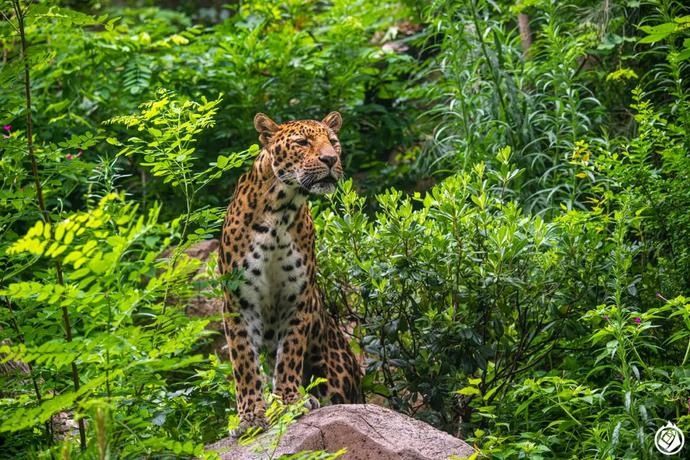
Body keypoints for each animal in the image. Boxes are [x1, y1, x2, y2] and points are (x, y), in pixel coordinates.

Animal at [218, 110, 362, 434]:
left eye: (333, 141)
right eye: (302, 142)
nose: (330, 159)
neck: (281, 210)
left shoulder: (298, 297)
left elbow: (289, 354)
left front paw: (289, 401)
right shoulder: (238, 302)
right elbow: (244, 363)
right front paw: (250, 417)